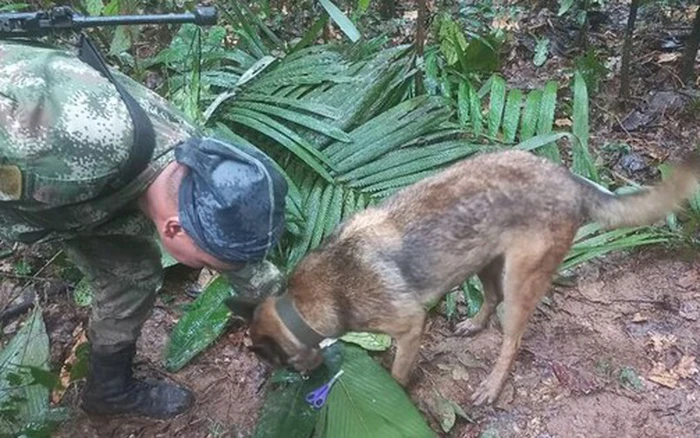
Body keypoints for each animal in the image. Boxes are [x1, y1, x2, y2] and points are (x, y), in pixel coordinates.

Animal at [227, 149, 696, 406]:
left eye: (275, 363)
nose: (302, 382)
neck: (304, 303)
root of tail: (570, 179)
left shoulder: (409, 326)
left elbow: (397, 373)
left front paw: (393, 393)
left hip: (520, 280)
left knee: (512, 339)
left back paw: (492, 384)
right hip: (484, 260)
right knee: (490, 298)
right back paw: (474, 323)